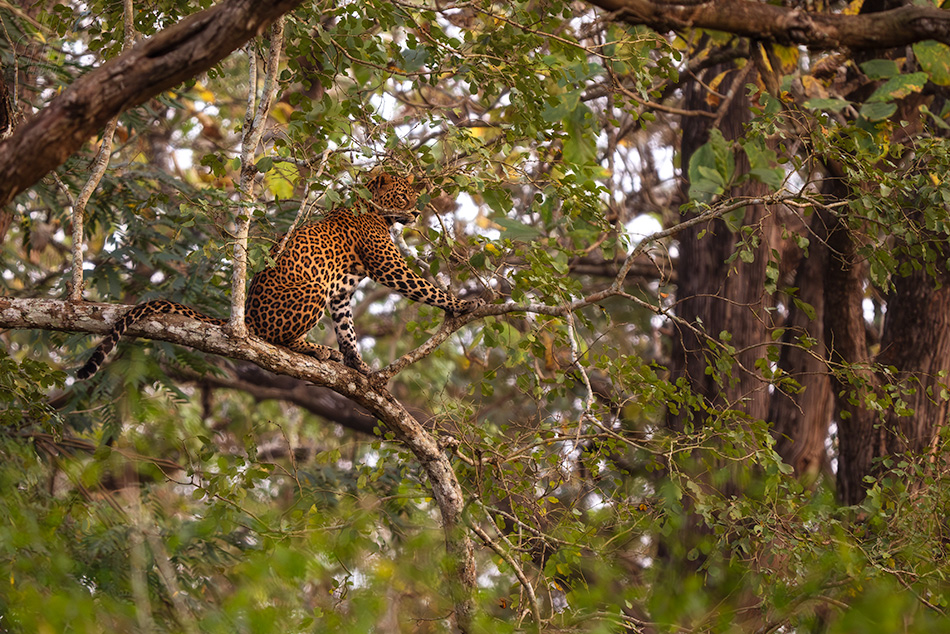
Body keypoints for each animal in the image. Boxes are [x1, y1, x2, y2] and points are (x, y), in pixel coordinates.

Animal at [76, 168, 484, 378]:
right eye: (402, 196)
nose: (416, 212)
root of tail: (247, 318)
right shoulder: (387, 264)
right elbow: (424, 287)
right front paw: (463, 304)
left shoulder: (341, 292)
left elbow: (347, 327)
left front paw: (358, 363)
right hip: (311, 291)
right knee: (277, 340)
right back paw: (316, 348)